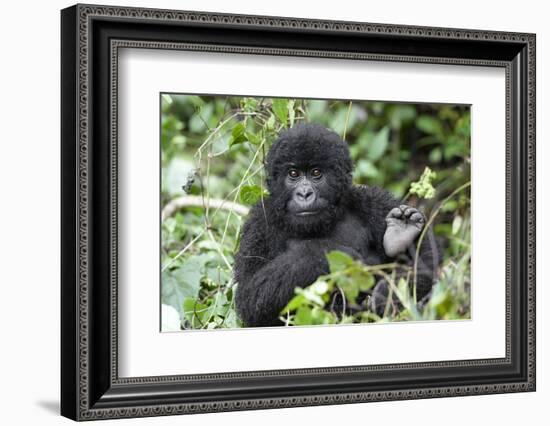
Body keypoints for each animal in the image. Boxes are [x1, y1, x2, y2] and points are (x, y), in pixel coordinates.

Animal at [234, 122, 440, 326]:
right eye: (293, 174)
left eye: (316, 173)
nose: (304, 194)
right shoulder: (259, 225)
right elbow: (250, 297)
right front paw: (330, 255)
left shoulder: (372, 200)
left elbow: (427, 265)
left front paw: (387, 293)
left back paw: (400, 234)